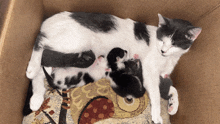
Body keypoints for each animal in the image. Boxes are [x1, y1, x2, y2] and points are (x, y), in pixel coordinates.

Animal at [25, 11, 201, 124]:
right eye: (162, 40)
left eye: (174, 44)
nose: (163, 50)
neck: (167, 58)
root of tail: (48, 20)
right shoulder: (149, 71)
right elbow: (156, 94)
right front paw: (157, 115)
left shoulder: (161, 75)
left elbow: (172, 89)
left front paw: (173, 105)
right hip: (72, 42)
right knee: (41, 43)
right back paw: (32, 68)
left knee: (42, 70)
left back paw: (36, 98)